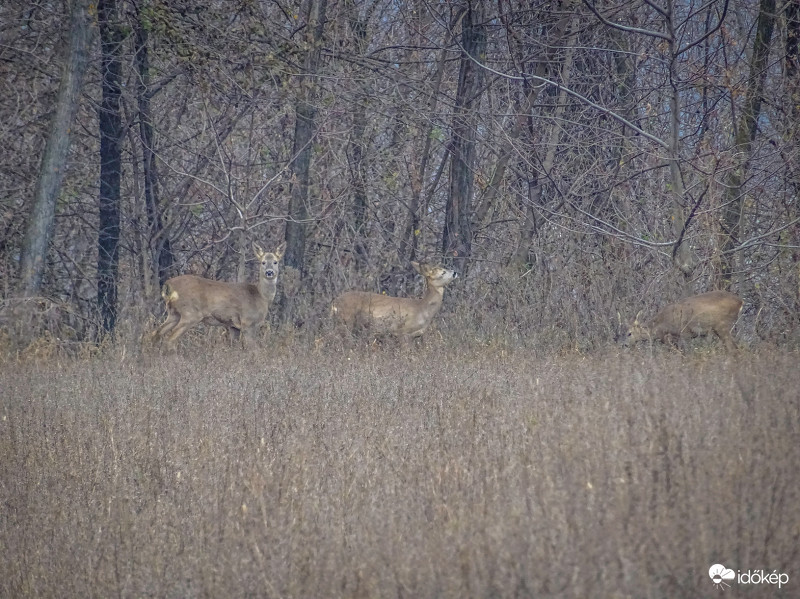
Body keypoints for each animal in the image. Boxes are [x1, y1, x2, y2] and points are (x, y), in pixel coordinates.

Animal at [152, 241, 286, 350]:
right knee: (171, 338)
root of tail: (169, 285)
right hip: (190, 313)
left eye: (275, 262)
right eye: (263, 262)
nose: (269, 272)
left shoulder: (234, 327)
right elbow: (253, 349)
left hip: (173, 313)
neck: (261, 296)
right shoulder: (248, 322)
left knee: (156, 333)